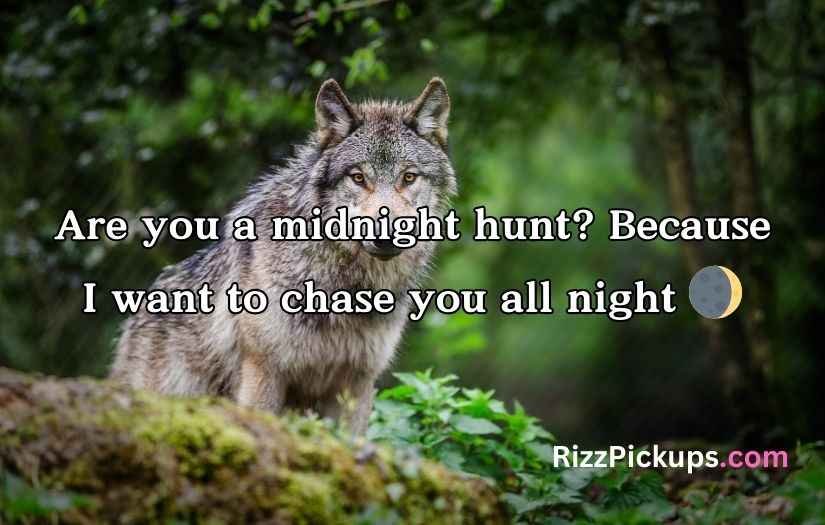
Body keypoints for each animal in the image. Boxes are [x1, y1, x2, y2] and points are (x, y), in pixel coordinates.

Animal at [110, 78, 455, 433]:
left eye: (408, 177)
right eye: (358, 178)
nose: (386, 235)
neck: (342, 289)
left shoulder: (357, 383)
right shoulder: (263, 371)